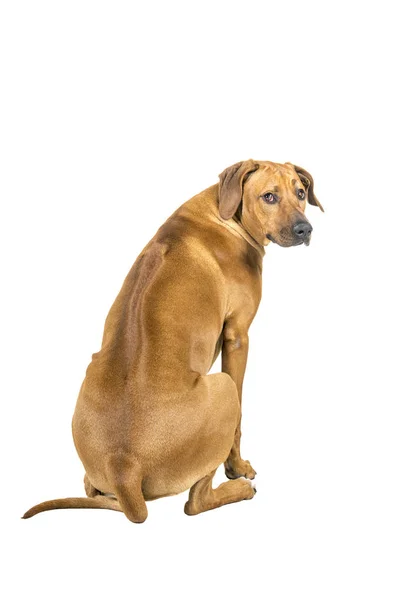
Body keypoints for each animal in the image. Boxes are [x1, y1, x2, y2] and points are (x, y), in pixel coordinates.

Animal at [21, 159, 324, 520]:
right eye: (269, 197)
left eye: (301, 193)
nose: (305, 229)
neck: (223, 211)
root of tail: (125, 469)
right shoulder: (238, 336)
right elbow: (239, 421)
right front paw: (236, 467)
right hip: (222, 389)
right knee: (195, 503)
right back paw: (237, 489)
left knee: (90, 487)